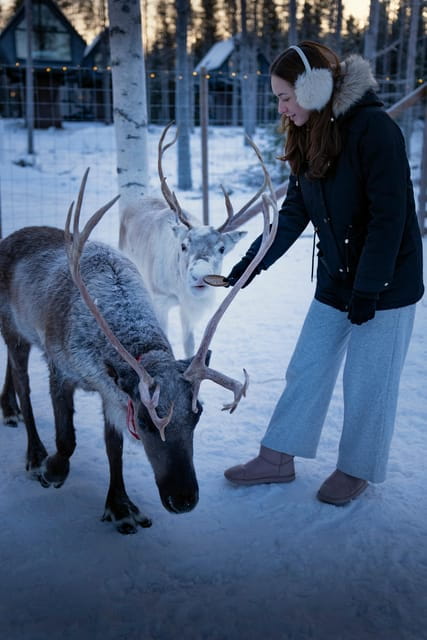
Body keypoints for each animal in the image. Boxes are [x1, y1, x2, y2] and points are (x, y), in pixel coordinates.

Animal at [0, 162, 278, 535]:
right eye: (146, 422)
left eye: (198, 414)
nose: (183, 499)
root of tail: (9, 237)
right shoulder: (62, 368)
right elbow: (67, 437)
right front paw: (53, 469)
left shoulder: (112, 390)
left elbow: (113, 447)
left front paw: (120, 506)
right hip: (13, 326)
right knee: (23, 383)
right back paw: (32, 451)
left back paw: (8, 408)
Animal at [119, 123, 272, 358]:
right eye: (183, 246)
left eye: (221, 248)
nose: (200, 275)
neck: (178, 289)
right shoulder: (160, 299)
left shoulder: (187, 307)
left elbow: (188, 343)